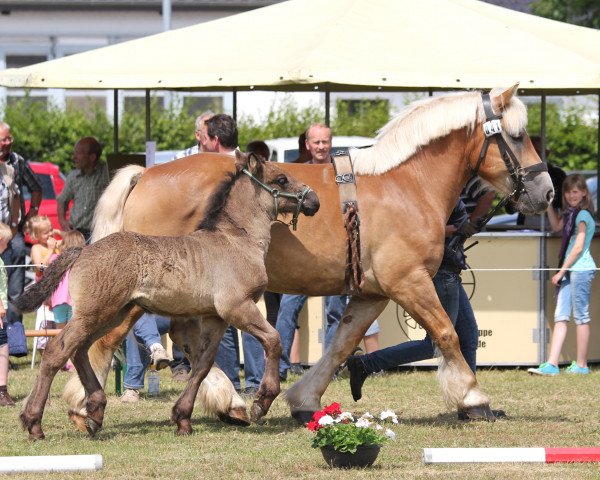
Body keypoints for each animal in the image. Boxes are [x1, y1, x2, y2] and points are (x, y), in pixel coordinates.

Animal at [62, 84, 552, 430]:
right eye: (516, 135)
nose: (545, 192)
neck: (405, 184)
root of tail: (145, 173)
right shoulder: (409, 281)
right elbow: (447, 333)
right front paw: (473, 398)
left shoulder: (373, 293)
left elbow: (341, 346)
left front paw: (303, 401)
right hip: (137, 296)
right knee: (106, 341)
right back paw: (86, 406)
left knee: (183, 340)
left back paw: (228, 402)